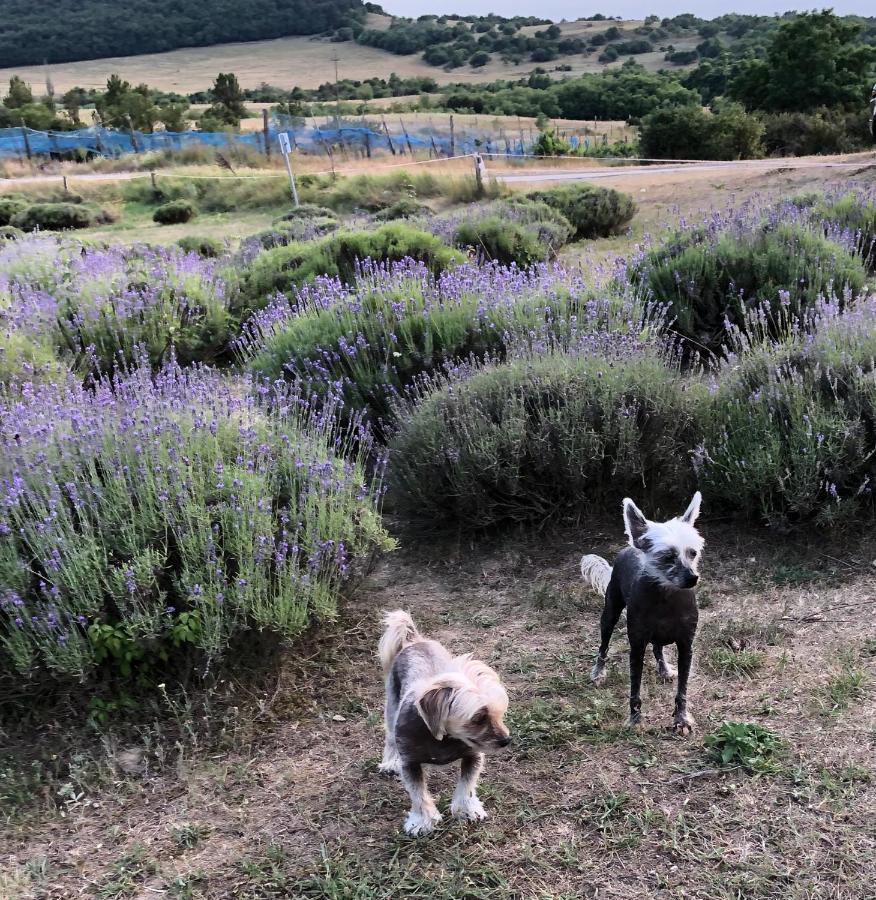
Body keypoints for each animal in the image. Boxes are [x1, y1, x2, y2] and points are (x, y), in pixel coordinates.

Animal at [580, 496, 704, 736]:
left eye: (692, 552)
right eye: (667, 556)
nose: (693, 578)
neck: (666, 597)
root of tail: (631, 546)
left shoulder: (686, 647)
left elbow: (682, 690)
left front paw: (681, 719)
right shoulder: (636, 648)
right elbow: (635, 689)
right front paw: (635, 719)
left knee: (657, 648)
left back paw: (664, 669)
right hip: (609, 615)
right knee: (603, 647)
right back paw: (598, 672)